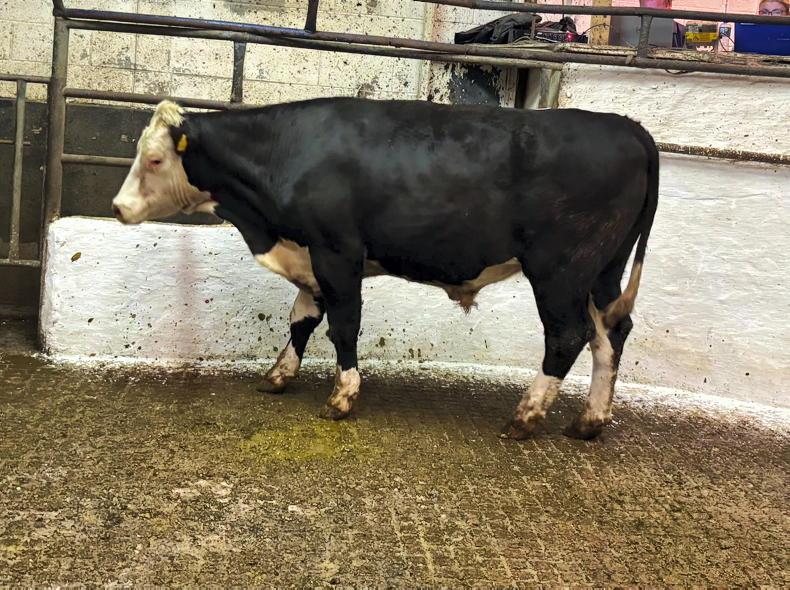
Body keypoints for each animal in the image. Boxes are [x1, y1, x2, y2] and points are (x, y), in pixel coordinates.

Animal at [112, 97, 658, 440]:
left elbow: (343, 325)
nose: (118, 207)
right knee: (610, 334)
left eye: (155, 160)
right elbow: (302, 319)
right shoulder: (311, 256)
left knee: (567, 335)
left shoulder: (337, 252)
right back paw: (590, 420)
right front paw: (279, 374)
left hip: (560, 268)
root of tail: (629, 126)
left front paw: (342, 396)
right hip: (602, 271)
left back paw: (525, 417)